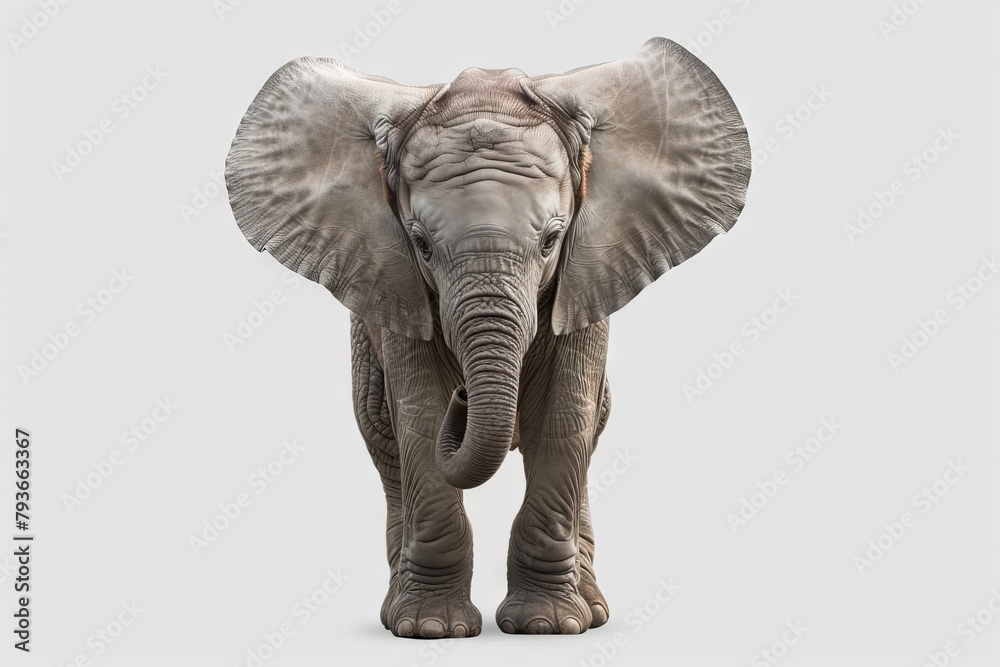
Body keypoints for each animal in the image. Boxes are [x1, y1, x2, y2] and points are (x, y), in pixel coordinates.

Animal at [225, 37, 750, 638]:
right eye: (421, 244)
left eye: (551, 240)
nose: (465, 393)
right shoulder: (394, 288)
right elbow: (420, 418)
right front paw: (431, 629)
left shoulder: (588, 277)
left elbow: (565, 418)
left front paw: (547, 626)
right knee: (385, 440)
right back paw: (394, 609)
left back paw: (593, 611)